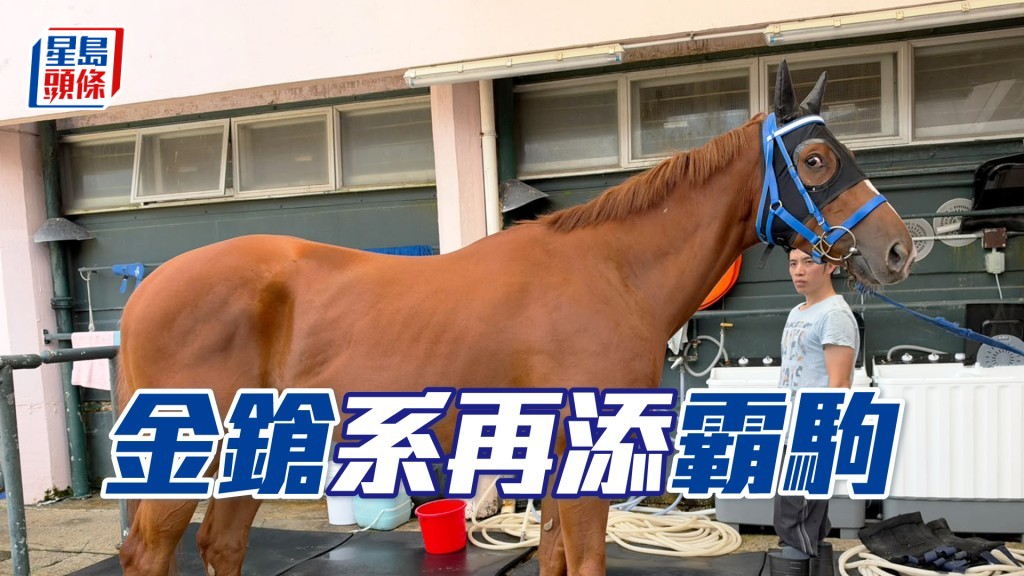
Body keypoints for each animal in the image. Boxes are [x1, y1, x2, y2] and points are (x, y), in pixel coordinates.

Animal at [114, 61, 914, 576]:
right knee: (150, 552)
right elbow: (584, 559)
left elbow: (556, 556)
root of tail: (147, 290)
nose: (899, 248)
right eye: (816, 160)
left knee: (220, 546)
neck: (612, 271)